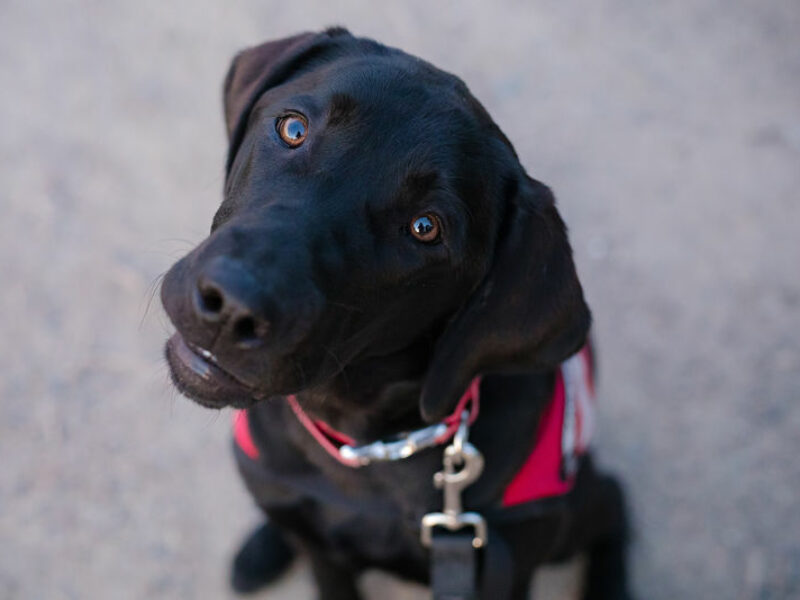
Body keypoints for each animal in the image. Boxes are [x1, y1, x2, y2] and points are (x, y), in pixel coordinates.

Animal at [158, 29, 632, 600]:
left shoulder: (502, 568)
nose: (231, 307)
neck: (363, 451)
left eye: (425, 227)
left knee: (615, 502)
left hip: (574, 511)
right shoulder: (323, 552)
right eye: (293, 128)